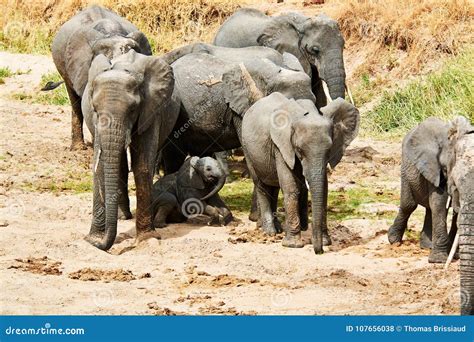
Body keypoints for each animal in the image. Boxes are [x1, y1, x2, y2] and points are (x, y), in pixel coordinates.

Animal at [81, 49, 176, 250]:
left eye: (133, 110)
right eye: (95, 109)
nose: (99, 244)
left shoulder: (151, 109)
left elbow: (143, 166)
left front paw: (148, 239)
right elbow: (101, 166)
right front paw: (93, 239)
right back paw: (121, 216)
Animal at [241, 93, 360, 254]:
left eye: (329, 150)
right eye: (299, 150)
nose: (319, 251)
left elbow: (324, 189)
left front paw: (325, 241)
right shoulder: (281, 145)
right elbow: (291, 188)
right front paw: (293, 245)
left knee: (274, 186)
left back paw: (278, 229)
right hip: (247, 148)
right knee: (261, 185)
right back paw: (270, 232)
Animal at [386, 116, 458, 264]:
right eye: (448, 167)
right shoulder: (434, 167)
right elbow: (439, 202)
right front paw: (439, 260)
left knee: (428, 208)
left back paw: (427, 246)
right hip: (405, 168)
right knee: (408, 205)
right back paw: (394, 241)